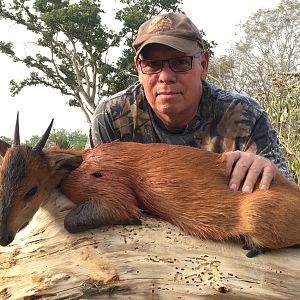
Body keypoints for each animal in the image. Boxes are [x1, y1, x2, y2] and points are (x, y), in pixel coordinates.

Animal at [0, 113, 300, 256]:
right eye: (1, 180)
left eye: (31, 189)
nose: (4, 236)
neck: (80, 164)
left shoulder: (114, 197)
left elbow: (72, 221)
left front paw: (133, 220)